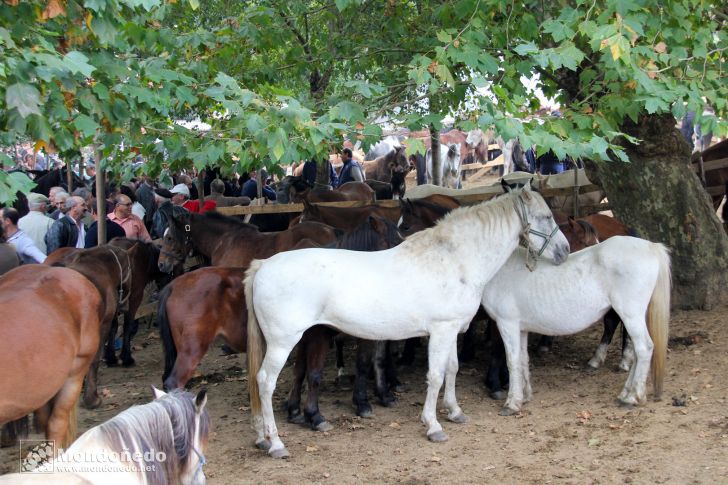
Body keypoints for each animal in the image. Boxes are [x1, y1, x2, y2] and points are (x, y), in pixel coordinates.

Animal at [247, 182, 572, 458]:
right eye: (545, 217)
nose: (565, 251)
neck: (454, 259)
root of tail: (263, 265)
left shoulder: (451, 330)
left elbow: (452, 370)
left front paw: (454, 412)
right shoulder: (440, 331)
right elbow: (436, 376)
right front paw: (433, 425)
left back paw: (263, 437)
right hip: (283, 342)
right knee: (265, 382)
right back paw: (276, 443)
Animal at [484, 236, 672, 414]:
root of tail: (651, 246)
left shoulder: (507, 324)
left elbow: (512, 361)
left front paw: (512, 403)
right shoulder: (521, 328)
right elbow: (523, 359)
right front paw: (524, 396)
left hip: (630, 315)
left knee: (644, 348)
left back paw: (632, 398)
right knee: (637, 352)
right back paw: (625, 393)